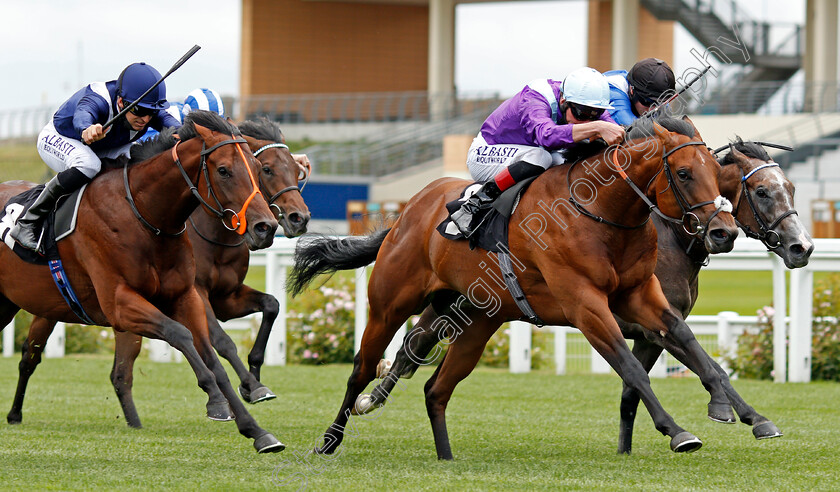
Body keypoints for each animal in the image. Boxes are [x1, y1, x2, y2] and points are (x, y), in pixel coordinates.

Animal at [0, 111, 286, 454]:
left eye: (257, 169)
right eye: (224, 170)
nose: (266, 227)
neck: (144, 216)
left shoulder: (187, 297)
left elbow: (214, 358)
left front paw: (257, 430)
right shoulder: (120, 303)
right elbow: (181, 335)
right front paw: (217, 401)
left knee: (53, 360)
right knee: (33, 357)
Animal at [292, 115, 740, 458]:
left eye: (718, 174)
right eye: (683, 173)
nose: (724, 232)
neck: (600, 211)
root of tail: (406, 212)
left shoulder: (639, 295)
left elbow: (689, 341)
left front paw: (725, 404)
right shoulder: (585, 304)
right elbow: (631, 369)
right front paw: (676, 430)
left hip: (473, 320)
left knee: (435, 387)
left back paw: (445, 457)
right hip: (389, 305)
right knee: (362, 369)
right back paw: (330, 440)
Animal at [350, 138, 812, 454]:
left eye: (791, 187)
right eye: (763, 192)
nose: (802, 248)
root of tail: (411, 208)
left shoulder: (652, 326)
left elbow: (643, 387)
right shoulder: (641, 327)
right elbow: (702, 366)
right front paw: (735, 416)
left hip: (467, 304)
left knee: (414, 348)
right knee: (410, 345)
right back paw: (368, 399)